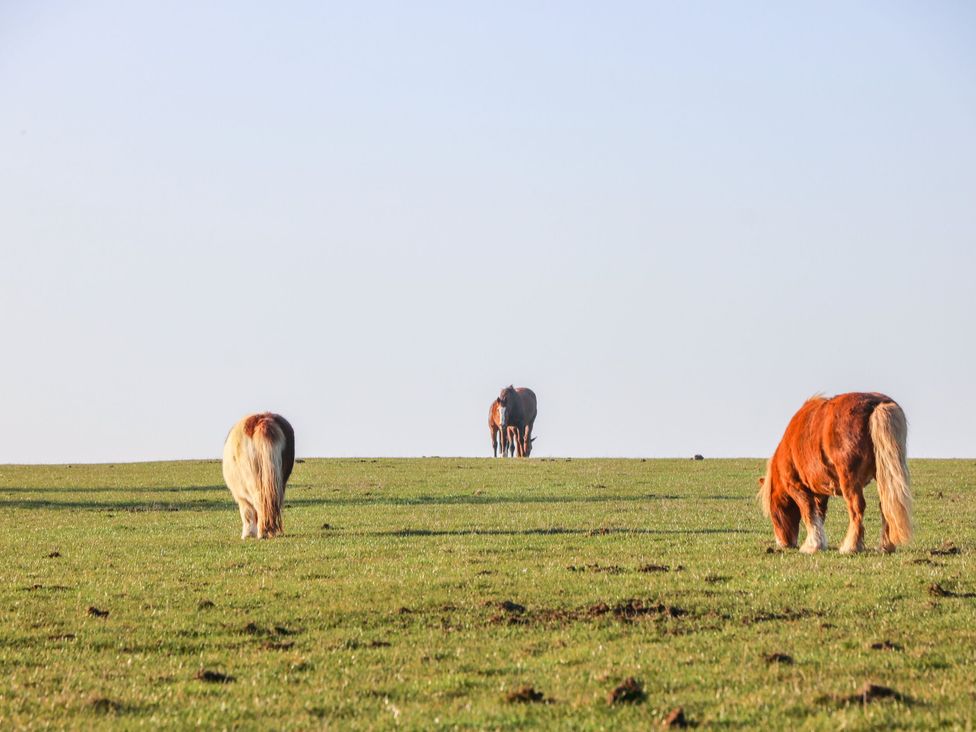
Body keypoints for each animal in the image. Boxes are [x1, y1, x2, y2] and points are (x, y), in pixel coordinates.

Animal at [760, 394, 912, 556]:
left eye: (773, 513)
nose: (784, 544)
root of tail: (877, 405)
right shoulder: (820, 493)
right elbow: (819, 515)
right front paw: (819, 543)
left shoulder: (797, 488)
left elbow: (809, 513)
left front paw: (811, 545)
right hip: (883, 475)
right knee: (885, 506)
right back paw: (885, 546)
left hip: (849, 480)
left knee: (856, 509)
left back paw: (851, 546)